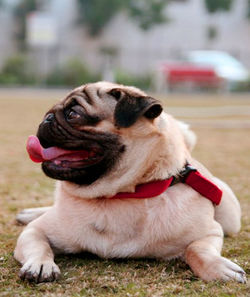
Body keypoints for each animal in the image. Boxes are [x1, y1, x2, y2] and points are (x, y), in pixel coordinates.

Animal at [14, 80, 246, 282]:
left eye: (73, 114)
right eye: (50, 111)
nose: (47, 118)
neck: (118, 195)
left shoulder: (209, 233)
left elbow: (196, 249)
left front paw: (218, 267)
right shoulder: (37, 231)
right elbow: (39, 245)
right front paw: (40, 264)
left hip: (229, 217)